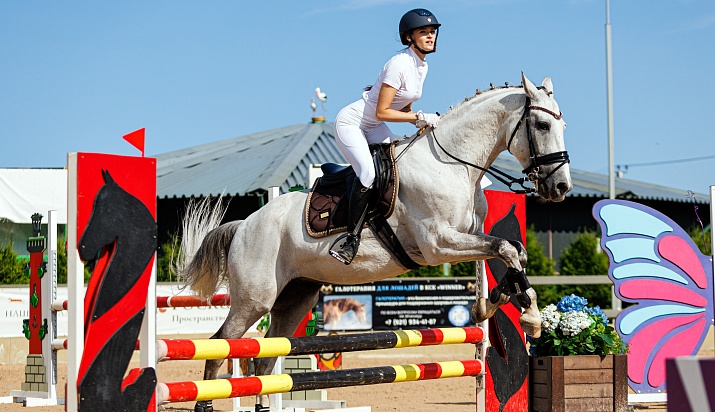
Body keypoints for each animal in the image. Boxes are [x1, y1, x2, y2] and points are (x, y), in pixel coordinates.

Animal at [180, 74, 576, 412]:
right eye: (542, 126)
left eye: (562, 126)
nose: (561, 187)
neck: (452, 165)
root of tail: (245, 224)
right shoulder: (438, 245)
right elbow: (506, 249)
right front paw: (529, 315)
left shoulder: (469, 236)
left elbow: (511, 250)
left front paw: (499, 304)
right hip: (255, 299)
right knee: (220, 343)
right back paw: (204, 403)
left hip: (294, 298)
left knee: (264, 359)